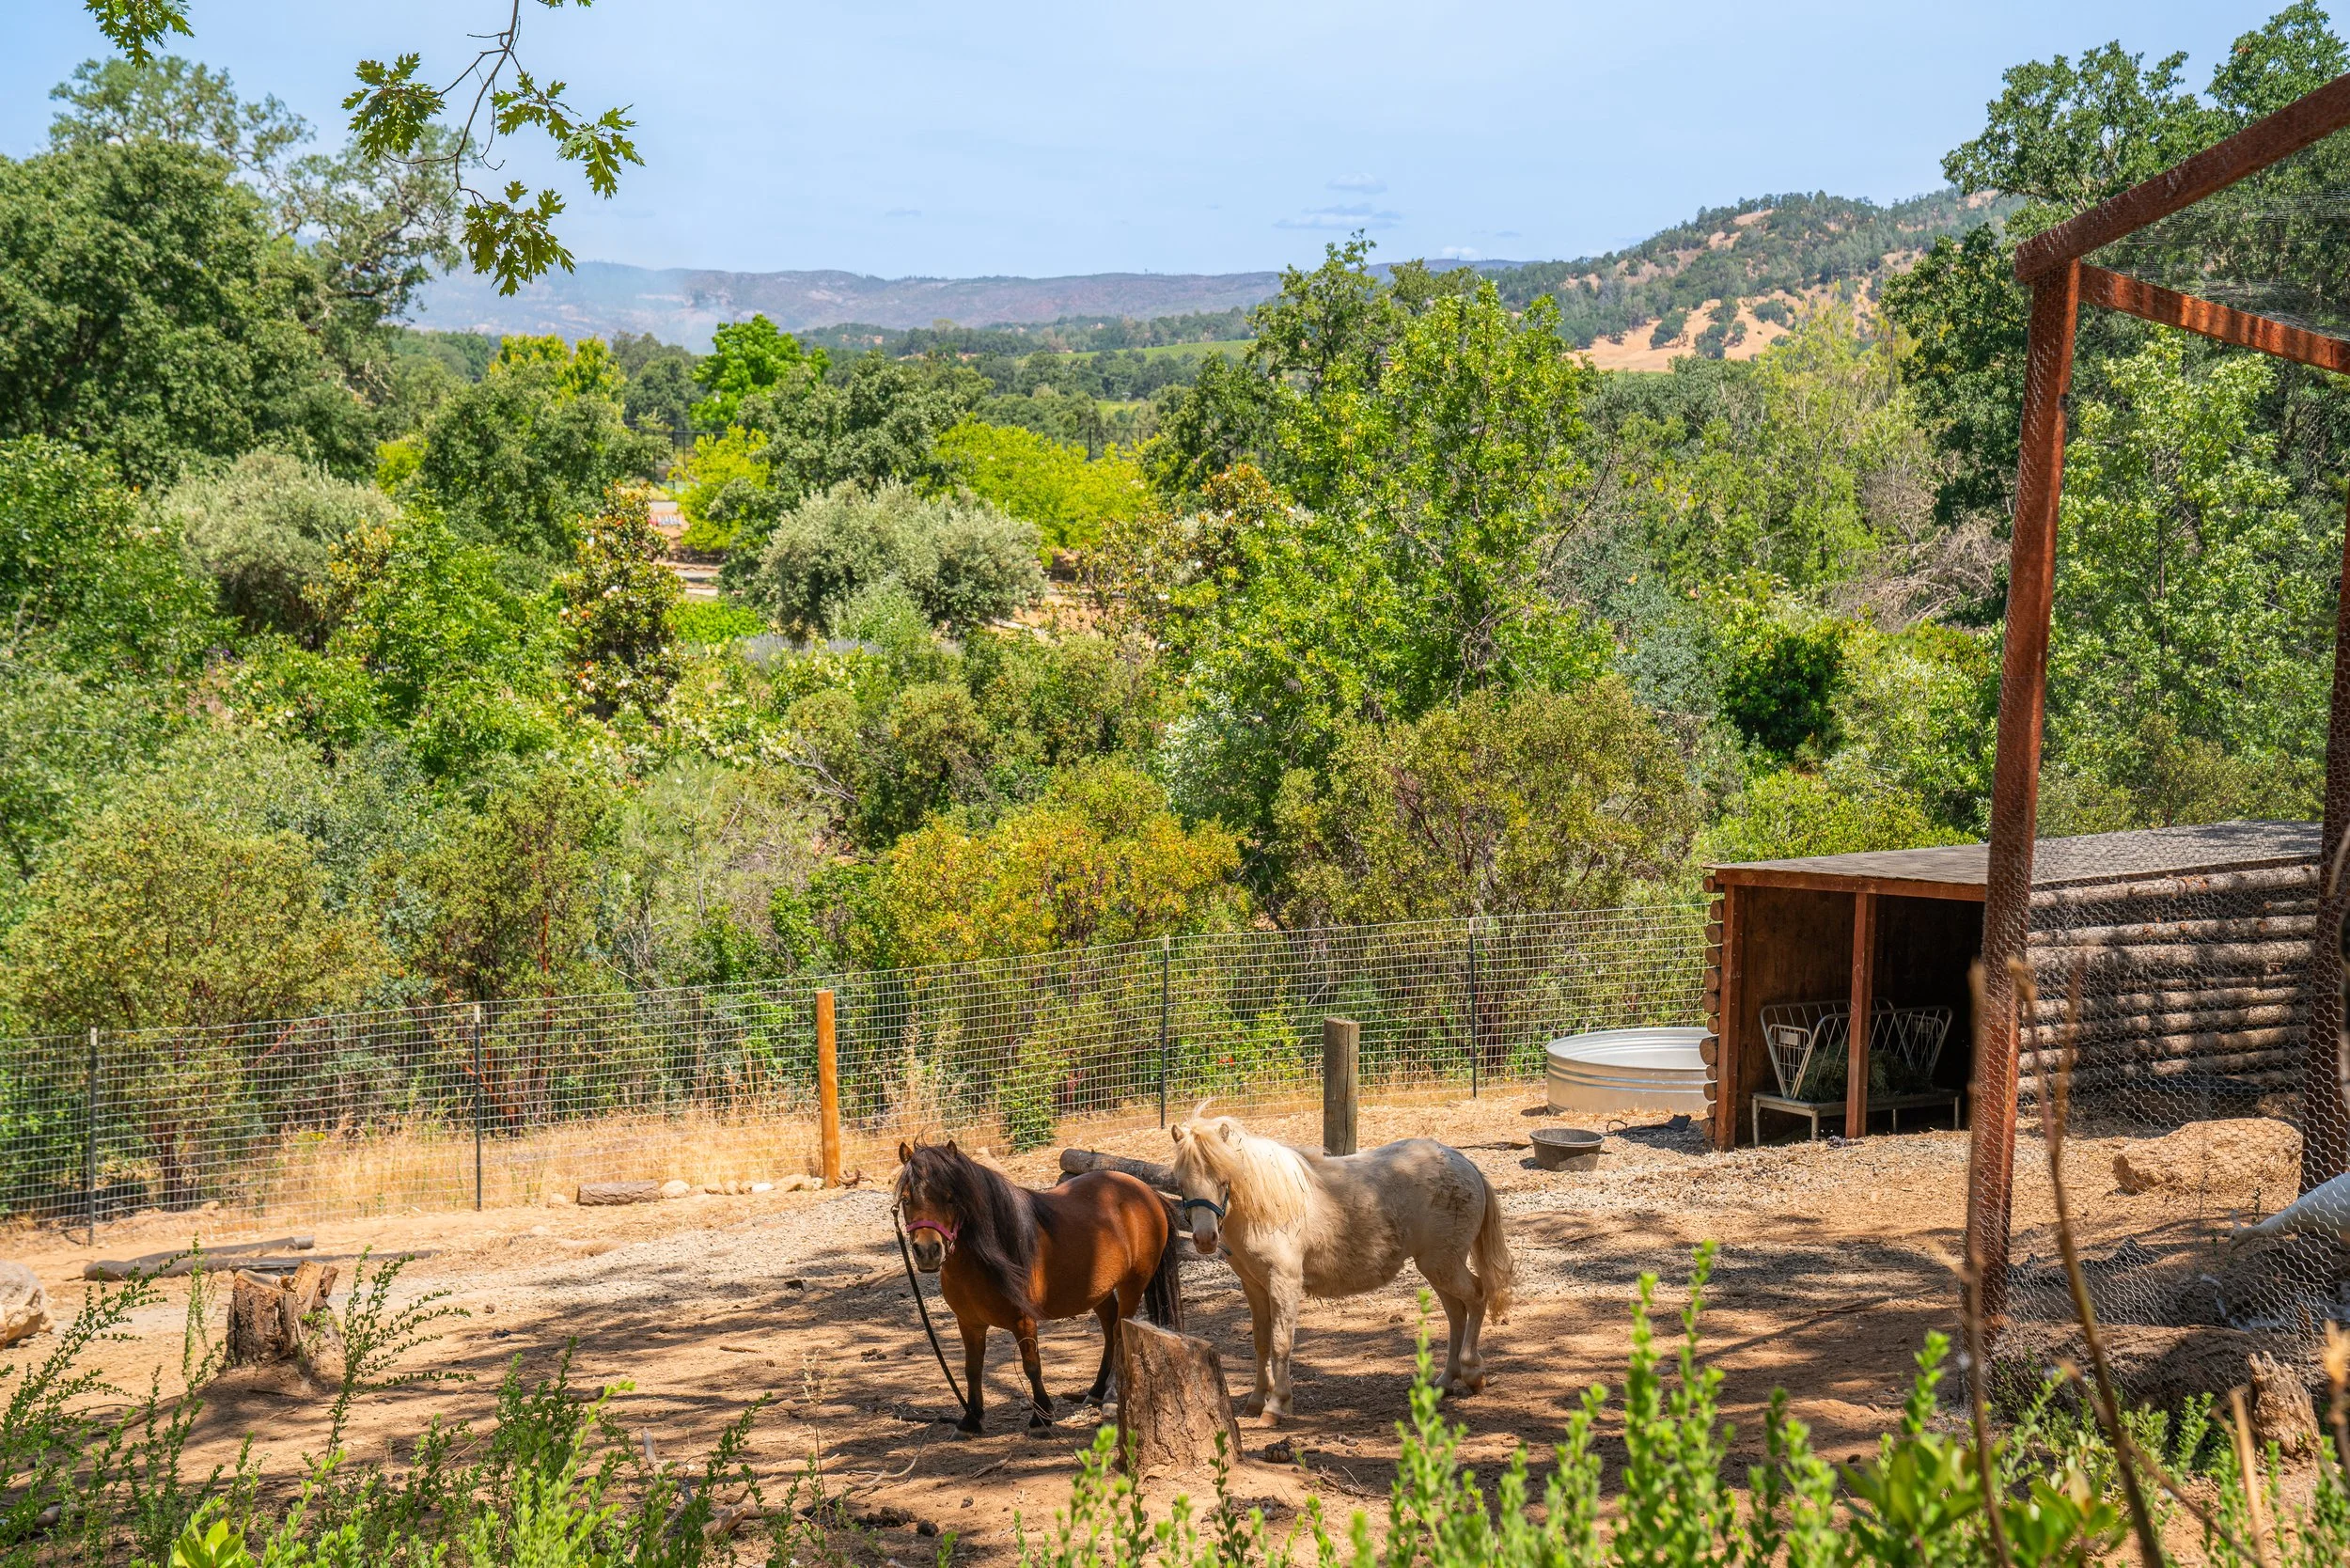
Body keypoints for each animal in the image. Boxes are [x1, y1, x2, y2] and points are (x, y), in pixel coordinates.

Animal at [894, 1139, 1182, 1435]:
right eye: (906, 1200)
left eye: (952, 1198)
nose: (927, 1251)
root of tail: (1147, 1191)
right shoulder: (969, 1323)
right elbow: (972, 1368)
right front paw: (970, 1419)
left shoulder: (1023, 1320)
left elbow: (1031, 1365)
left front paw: (1041, 1417)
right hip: (1099, 1289)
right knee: (1109, 1331)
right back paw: (1096, 1391)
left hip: (1133, 1284)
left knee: (1119, 1332)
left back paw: (1111, 1397)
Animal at [1168, 1108, 1512, 1421]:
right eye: (1181, 1182)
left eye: (1223, 1179)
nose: (1205, 1239)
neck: (1268, 1207)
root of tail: (1465, 1162)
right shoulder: (1253, 1285)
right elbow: (1261, 1341)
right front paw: (1255, 1400)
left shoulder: (1283, 1282)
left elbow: (1281, 1342)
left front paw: (1276, 1405)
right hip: (1437, 1267)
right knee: (1456, 1313)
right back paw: (1445, 1381)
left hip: (1443, 1264)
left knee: (1477, 1297)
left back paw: (1472, 1373)